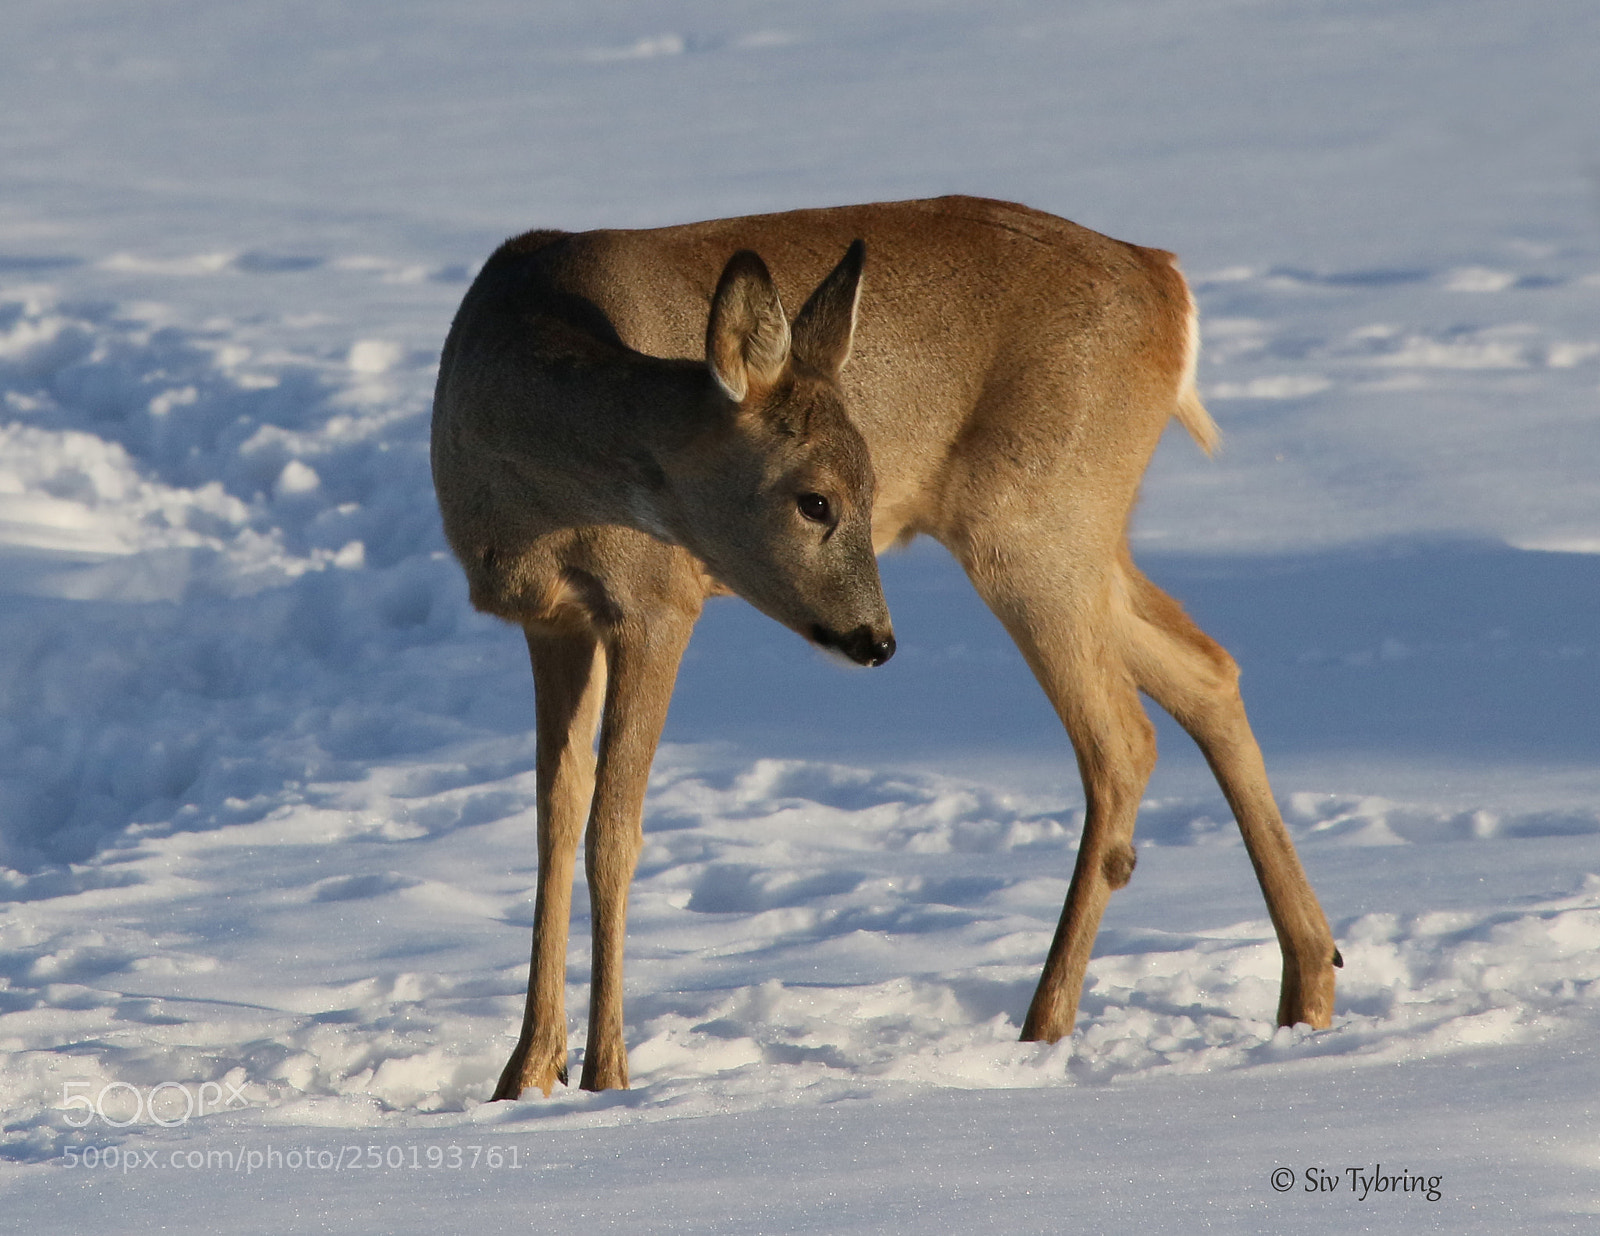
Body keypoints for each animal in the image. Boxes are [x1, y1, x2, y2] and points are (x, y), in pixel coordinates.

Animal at [431, 195, 1340, 1099]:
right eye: (815, 500)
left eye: (867, 491)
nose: (877, 640)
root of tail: (1168, 282)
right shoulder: (553, 620)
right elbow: (553, 825)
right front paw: (522, 1076)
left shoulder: (656, 602)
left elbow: (612, 835)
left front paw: (605, 1079)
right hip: (1075, 534)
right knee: (1207, 669)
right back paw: (1309, 984)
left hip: (1036, 520)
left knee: (1122, 739)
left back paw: (1042, 1030)